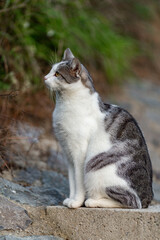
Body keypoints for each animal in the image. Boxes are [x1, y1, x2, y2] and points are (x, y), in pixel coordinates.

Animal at [44, 48, 153, 208]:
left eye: (57, 74)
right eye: (50, 70)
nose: (44, 77)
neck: (63, 104)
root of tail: (148, 198)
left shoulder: (79, 152)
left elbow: (78, 181)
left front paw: (76, 202)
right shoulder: (68, 154)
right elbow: (72, 181)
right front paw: (70, 199)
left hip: (94, 167)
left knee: (130, 201)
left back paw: (92, 201)